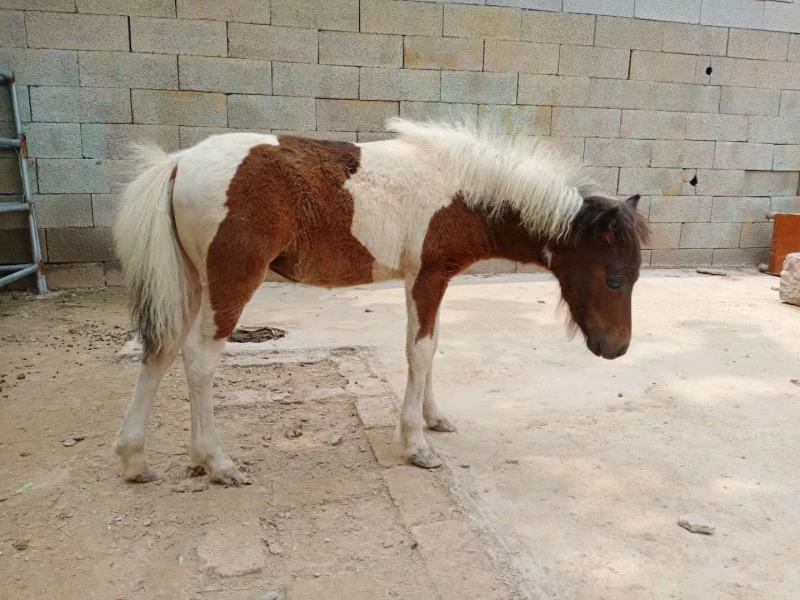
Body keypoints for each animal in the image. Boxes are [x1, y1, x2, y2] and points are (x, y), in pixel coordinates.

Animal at [113, 119, 649, 485]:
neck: (464, 192)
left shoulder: (429, 279)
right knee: (199, 359)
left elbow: (432, 346)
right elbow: (421, 351)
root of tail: (178, 162)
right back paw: (217, 462)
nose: (617, 348)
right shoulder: (427, 276)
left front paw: (434, 420)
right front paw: (416, 445)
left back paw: (138, 459)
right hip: (232, 278)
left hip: (189, 279)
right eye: (615, 279)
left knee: (161, 350)